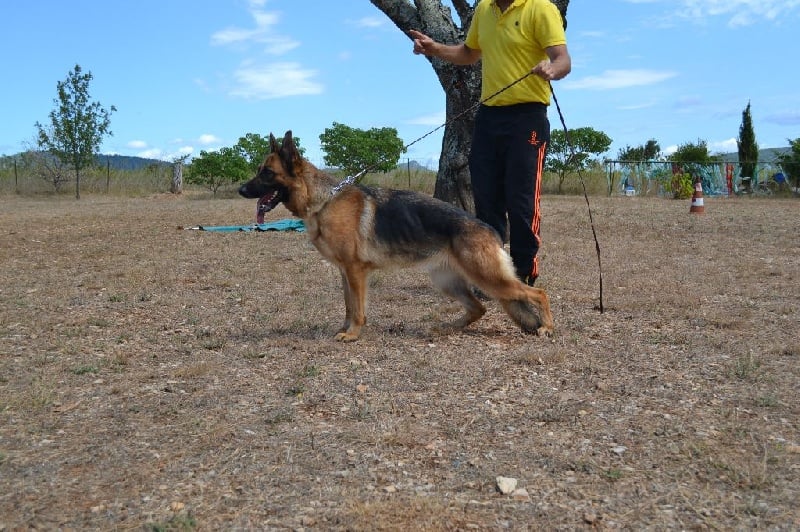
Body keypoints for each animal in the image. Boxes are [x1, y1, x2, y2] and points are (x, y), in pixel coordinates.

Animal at [238, 131, 552, 342]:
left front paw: (353, 334)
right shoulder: (344, 272)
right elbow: (348, 306)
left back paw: (547, 326)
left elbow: (358, 308)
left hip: (488, 278)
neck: (324, 200)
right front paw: (344, 329)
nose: (241, 190)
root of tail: (491, 231)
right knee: (478, 308)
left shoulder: (355, 272)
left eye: (267, 173)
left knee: (537, 293)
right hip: (448, 281)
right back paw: (448, 328)